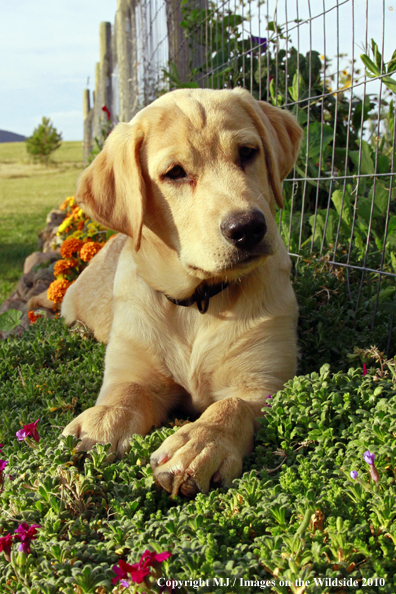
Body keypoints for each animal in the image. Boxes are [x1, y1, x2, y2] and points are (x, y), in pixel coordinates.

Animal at [60, 88, 302, 494]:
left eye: (247, 152)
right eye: (174, 172)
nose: (248, 228)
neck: (199, 301)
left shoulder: (264, 383)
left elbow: (230, 406)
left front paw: (199, 443)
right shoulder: (132, 367)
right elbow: (125, 394)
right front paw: (102, 422)